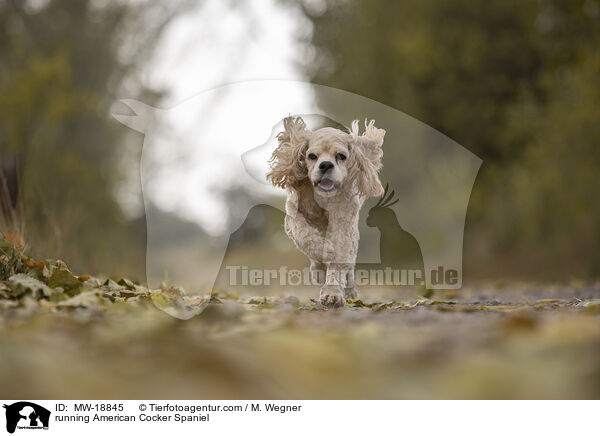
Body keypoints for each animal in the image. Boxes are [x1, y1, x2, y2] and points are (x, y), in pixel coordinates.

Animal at [268, 116, 384, 306]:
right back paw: (319, 269)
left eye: (341, 156)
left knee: (350, 264)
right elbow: (305, 236)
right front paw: (326, 251)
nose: (326, 165)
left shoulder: (344, 224)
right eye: (312, 156)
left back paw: (350, 290)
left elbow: (338, 261)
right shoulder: (292, 215)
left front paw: (333, 294)